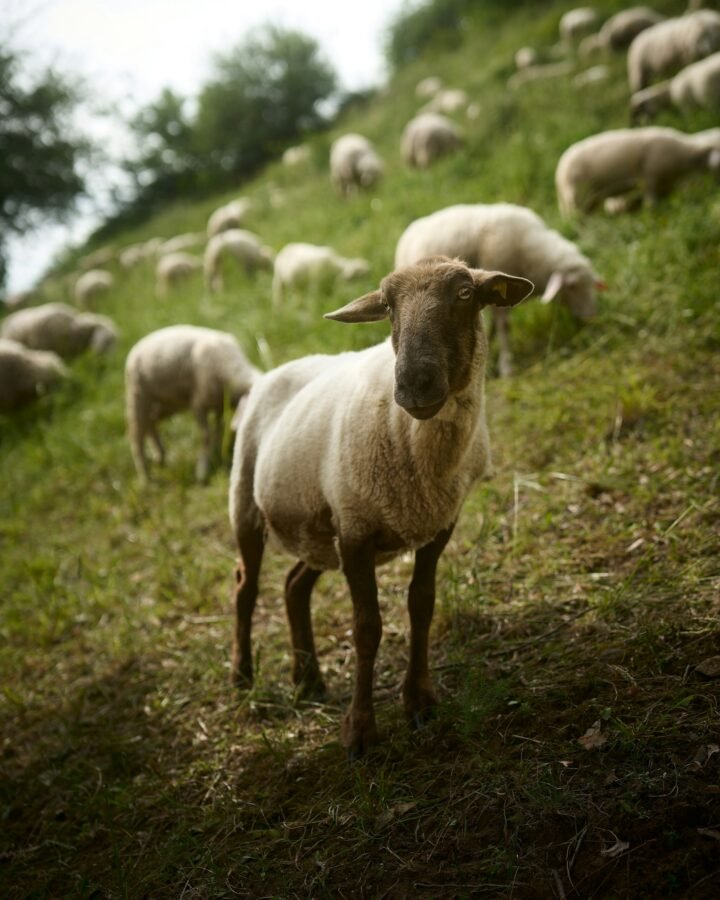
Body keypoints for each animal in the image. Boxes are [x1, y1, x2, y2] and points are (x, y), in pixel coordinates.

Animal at [125, 325, 259, 483]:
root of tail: (138, 345)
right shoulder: (198, 404)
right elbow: (206, 436)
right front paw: (202, 471)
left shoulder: (219, 405)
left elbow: (217, 431)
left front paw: (215, 457)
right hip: (138, 394)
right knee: (137, 436)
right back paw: (145, 478)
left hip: (168, 402)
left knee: (151, 420)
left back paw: (160, 456)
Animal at [228, 256, 533, 756]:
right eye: (388, 305)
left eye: (465, 293)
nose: (414, 383)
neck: (416, 445)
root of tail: (274, 371)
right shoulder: (356, 533)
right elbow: (366, 628)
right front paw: (360, 730)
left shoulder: (436, 523)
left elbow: (421, 605)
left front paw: (420, 701)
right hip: (248, 506)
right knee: (245, 588)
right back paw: (242, 675)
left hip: (320, 526)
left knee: (294, 586)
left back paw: (308, 680)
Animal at [394, 203, 605, 377]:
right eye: (572, 286)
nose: (591, 316)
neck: (529, 250)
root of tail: (407, 234)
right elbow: (504, 326)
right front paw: (506, 367)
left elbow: (492, 325)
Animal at [555, 126, 720, 215]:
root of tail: (559, 172)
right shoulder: (649, 175)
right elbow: (651, 201)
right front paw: (652, 213)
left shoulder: (664, 184)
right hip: (578, 197)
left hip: (589, 199)